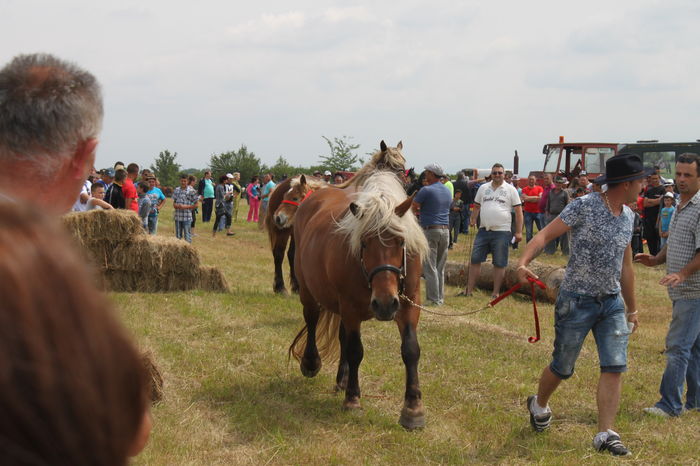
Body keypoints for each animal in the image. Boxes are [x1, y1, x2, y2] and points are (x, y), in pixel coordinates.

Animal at [289, 171, 429, 429]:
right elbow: (355, 350)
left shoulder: (408, 303)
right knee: (312, 320)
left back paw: (342, 379)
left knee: (342, 336)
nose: (384, 304)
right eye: (364, 242)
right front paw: (353, 399)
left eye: (400, 242)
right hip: (308, 291)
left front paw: (413, 408)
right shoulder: (350, 307)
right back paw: (311, 363)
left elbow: (411, 350)